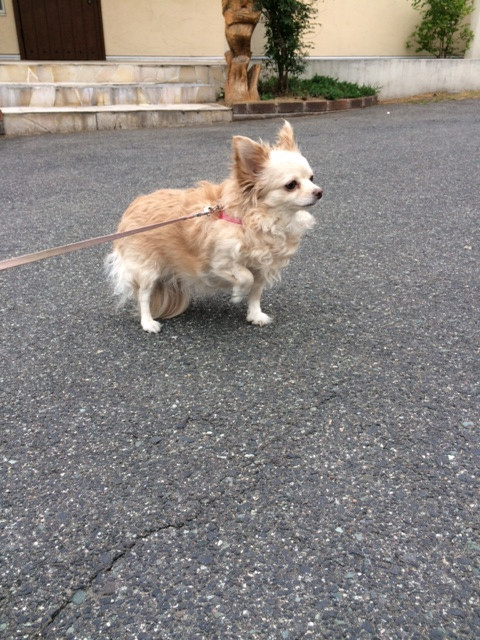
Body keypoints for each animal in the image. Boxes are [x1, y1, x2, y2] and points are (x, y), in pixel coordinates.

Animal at [105, 121, 323, 333]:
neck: (257, 219)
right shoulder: (217, 263)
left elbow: (256, 292)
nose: (319, 192)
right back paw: (148, 322)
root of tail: (133, 206)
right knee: (143, 295)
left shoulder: (262, 267)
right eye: (291, 185)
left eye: (311, 178)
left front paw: (254, 315)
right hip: (147, 269)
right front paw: (238, 293)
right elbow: (246, 278)